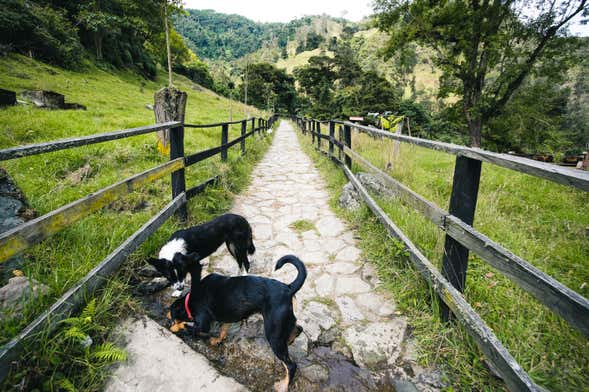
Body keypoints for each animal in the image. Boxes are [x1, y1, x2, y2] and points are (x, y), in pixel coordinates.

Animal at [168, 253, 306, 390]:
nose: (167, 315)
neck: (189, 301)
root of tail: (288, 288)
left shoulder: (203, 324)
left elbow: (188, 326)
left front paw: (176, 328)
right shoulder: (228, 316)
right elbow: (223, 330)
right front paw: (217, 340)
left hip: (273, 334)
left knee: (291, 365)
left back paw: (283, 386)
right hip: (283, 323)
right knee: (298, 328)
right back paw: (290, 339)